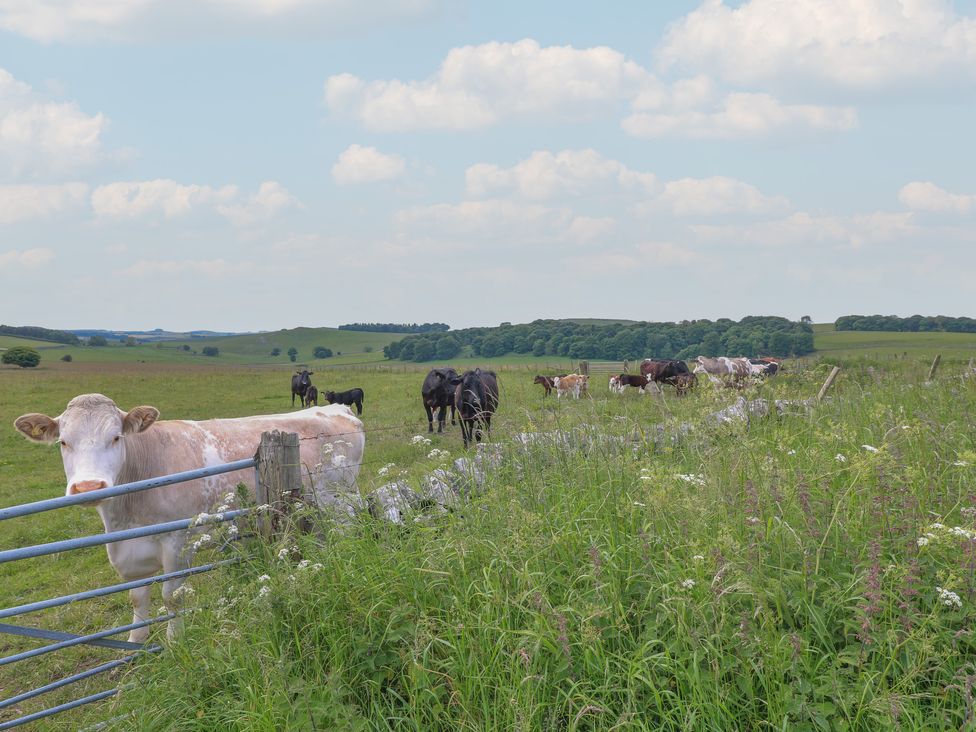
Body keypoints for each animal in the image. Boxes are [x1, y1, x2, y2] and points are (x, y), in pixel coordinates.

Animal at [14, 394, 366, 640]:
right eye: (63, 442)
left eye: (115, 437)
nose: (88, 486)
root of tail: (338, 409)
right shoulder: (128, 551)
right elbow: (137, 599)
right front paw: (135, 644)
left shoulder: (176, 543)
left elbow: (171, 599)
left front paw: (175, 643)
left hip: (338, 500)